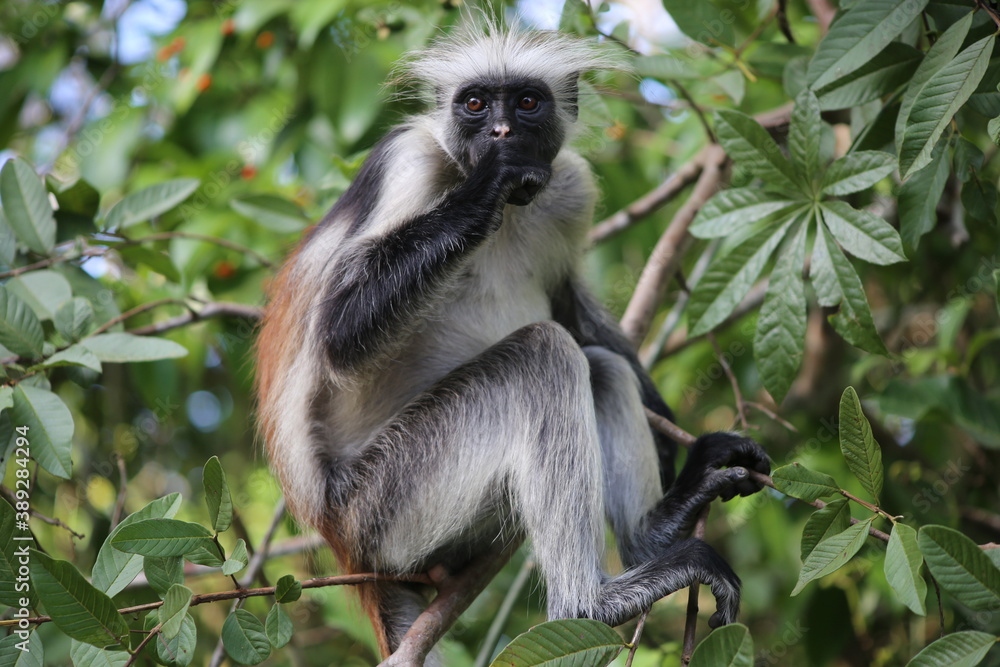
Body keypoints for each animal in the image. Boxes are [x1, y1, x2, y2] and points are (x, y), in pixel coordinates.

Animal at [254, 24, 770, 665]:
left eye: (526, 102)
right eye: (475, 104)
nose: (502, 133)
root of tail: (340, 539)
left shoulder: (569, 188)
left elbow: (574, 310)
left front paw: (675, 437)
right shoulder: (409, 162)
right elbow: (336, 336)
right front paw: (490, 182)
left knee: (598, 366)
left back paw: (653, 534)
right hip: (383, 506)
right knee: (543, 354)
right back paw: (592, 605)